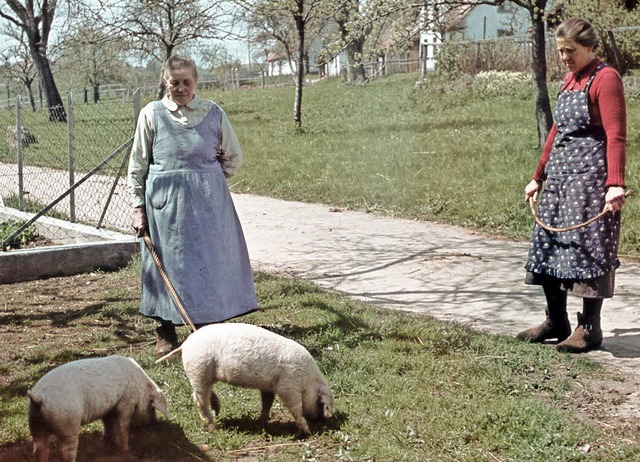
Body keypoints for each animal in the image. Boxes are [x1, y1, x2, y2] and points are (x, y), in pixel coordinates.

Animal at [27, 356, 169, 460]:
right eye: (152, 407)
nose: (155, 423)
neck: (142, 388)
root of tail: (38, 398)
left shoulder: (108, 409)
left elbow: (108, 425)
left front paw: (105, 444)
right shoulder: (126, 402)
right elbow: (123, 426)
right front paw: (129, 454)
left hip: (35, 424)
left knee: (39, 449)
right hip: (67, 424)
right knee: (66, 452)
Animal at [159, 324, 336, 434]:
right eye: (321, 403)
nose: (320, 420)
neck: (308, 380)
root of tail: (186, 344)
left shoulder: (269, 386)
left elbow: (267, 402)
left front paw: (262, 421)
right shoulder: (288, 386)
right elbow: (295, 407)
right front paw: (307, 431)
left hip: (204, 374)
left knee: (203, 394)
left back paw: (217, 411)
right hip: (199, 370)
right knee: (198, 399)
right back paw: (213, 426)